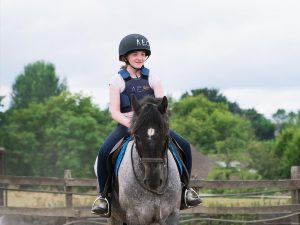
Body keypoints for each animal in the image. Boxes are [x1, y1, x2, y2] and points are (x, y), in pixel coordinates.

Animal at [109, 96, 180, 225]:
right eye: (137, 137)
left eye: (165, 136)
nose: (153, 180)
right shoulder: (135, 217)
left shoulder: (172, 215)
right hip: (114, 218)